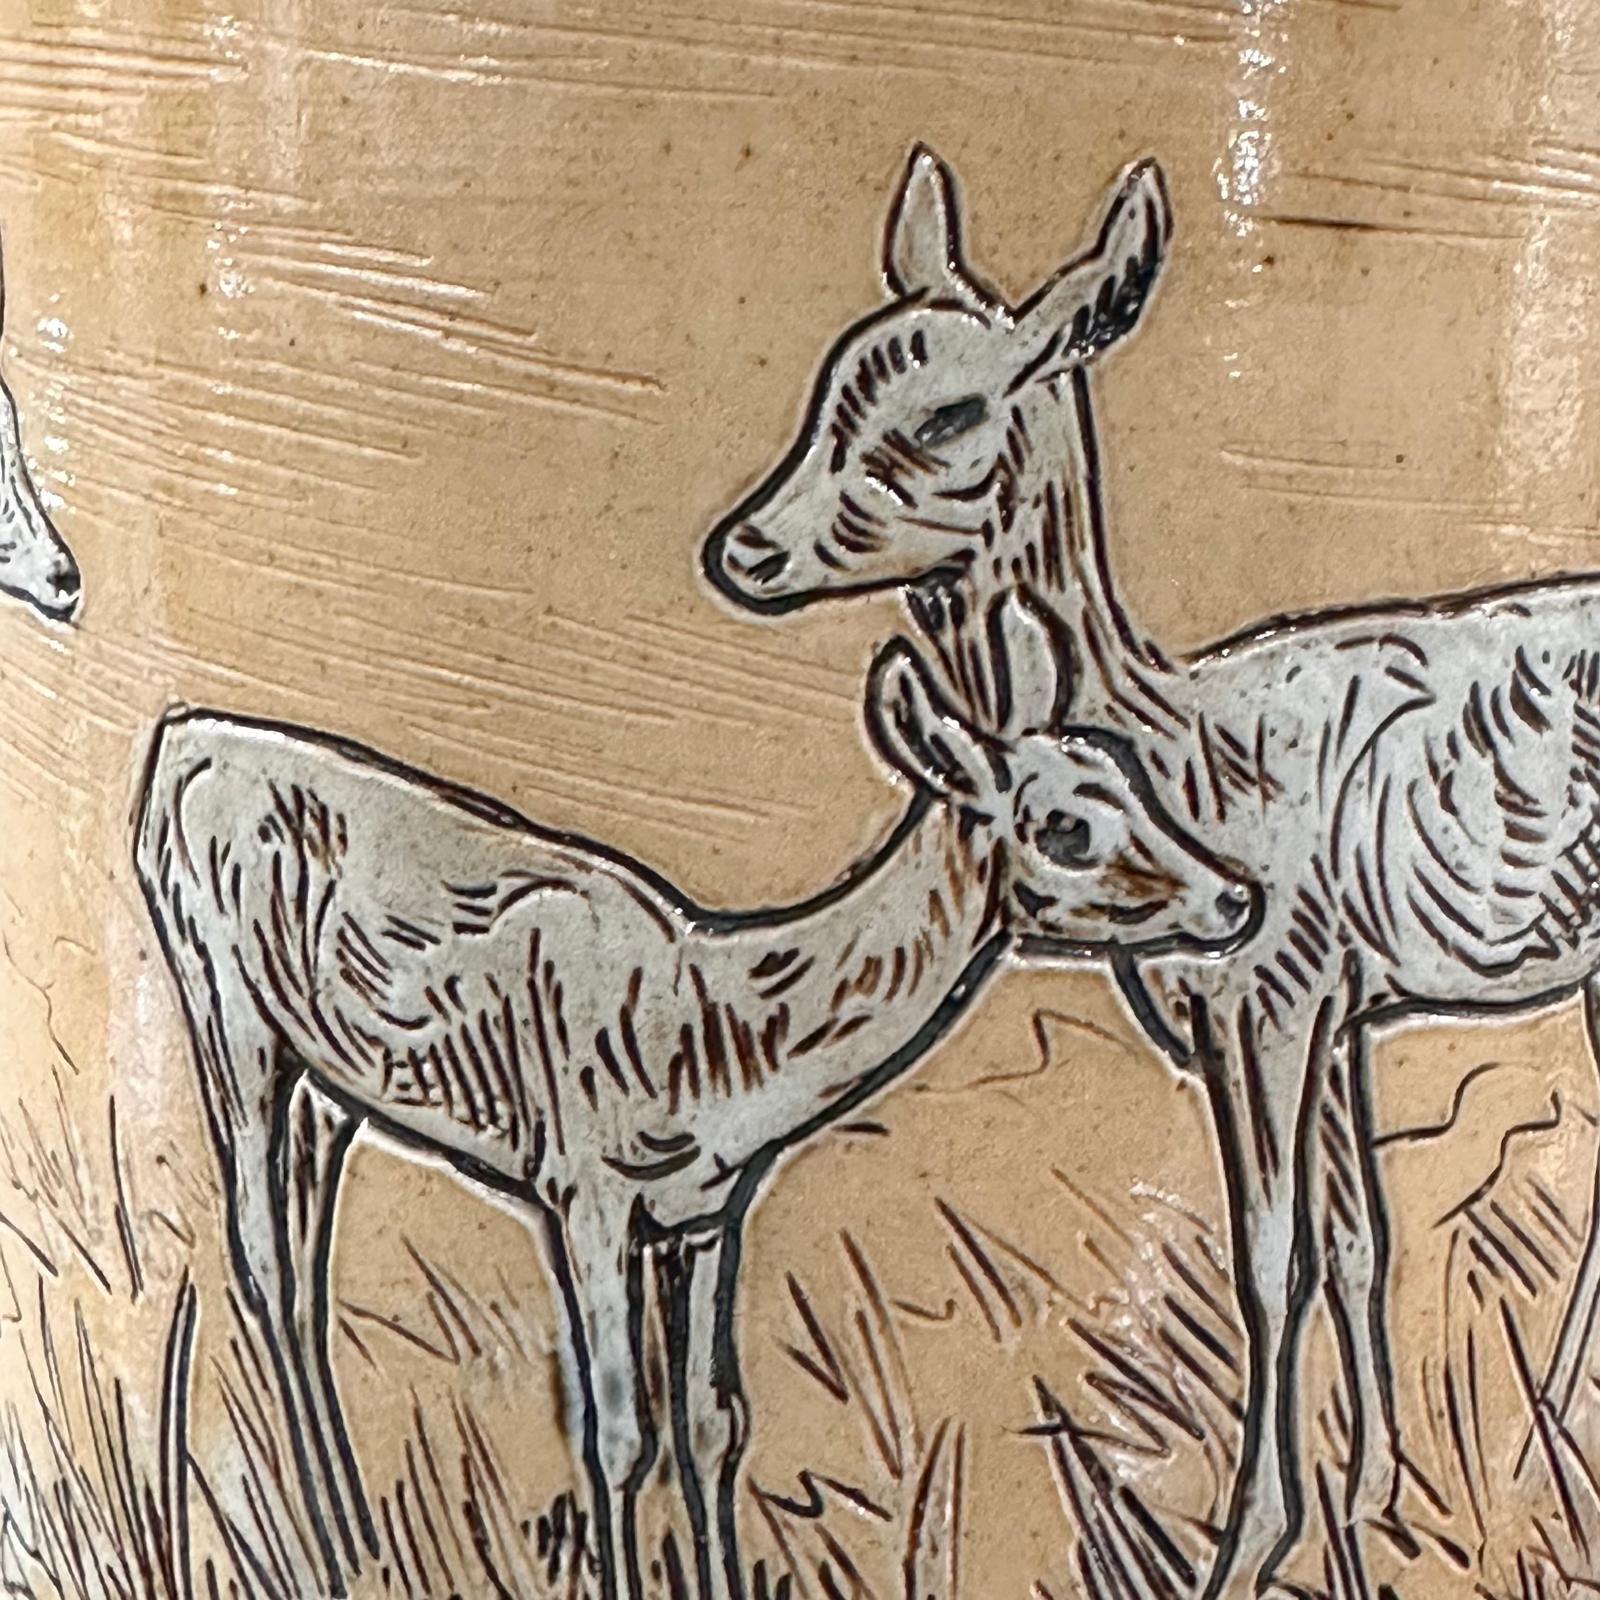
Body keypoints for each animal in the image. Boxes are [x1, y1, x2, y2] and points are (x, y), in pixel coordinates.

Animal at [132, 600, 1257, 1600]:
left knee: (307, 1265)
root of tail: (181, 741)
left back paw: (358, 1539)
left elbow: (713, 1422)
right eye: (1066, 827)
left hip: (335, 1087)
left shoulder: (709, 1210)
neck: (707, 1030)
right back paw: (324, 1546)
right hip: (224, 1013)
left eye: (1130, 778)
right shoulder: (582, 1195)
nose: (1236, 895)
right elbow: (616, 1428)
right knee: (260, 1254)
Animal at [702, 145, 1600, 1597]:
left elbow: (1272, 1254)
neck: (1191, 753)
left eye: (948, 413)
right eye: (828, 379)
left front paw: (1248, 1542)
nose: (743, 550)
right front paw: (1378, 1501)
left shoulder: (1271, 991)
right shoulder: (1324, 1007)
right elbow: (1359, 1238)